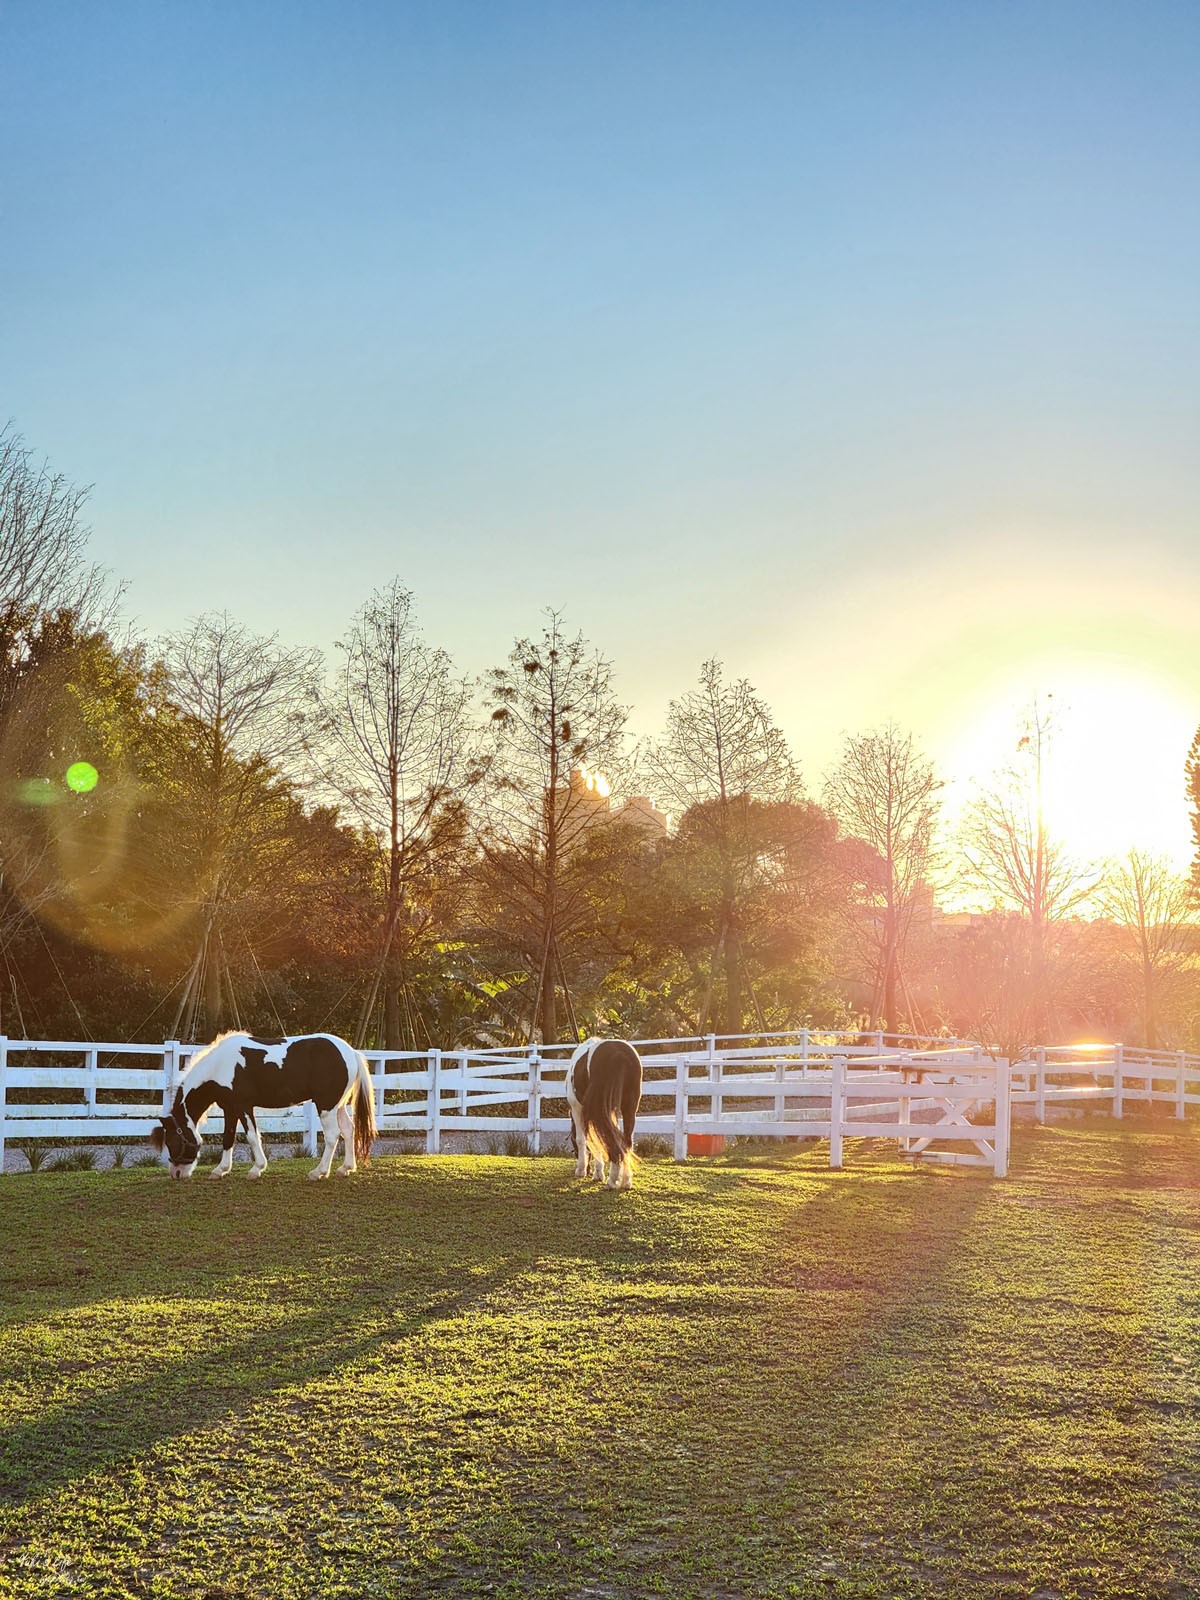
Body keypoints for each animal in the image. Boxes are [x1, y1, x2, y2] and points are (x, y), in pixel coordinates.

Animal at [151, 1030, 376, 1184]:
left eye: (172, 1141)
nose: (176, 1173)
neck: (220, 1066)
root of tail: (351, 1052)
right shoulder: (230, 1108)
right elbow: (228, 1138)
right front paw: (220, 1170)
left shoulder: (243, 1106)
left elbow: (252, 1136)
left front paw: (256, 1169)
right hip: (338, 1105)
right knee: (348, 1130)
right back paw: (346, 1168)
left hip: (326, 1106)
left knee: (332, 1136)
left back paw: (318, 1172)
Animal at [566, 1036, 643, 1190]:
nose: (588, 1170)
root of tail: (620, 1054)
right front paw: (597, 1173)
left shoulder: (577, 1108)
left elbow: (583, 1139)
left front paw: (582, 1170)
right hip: (629, 1107)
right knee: (626, 1141)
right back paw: (626, 1181)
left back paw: (612, 1180)